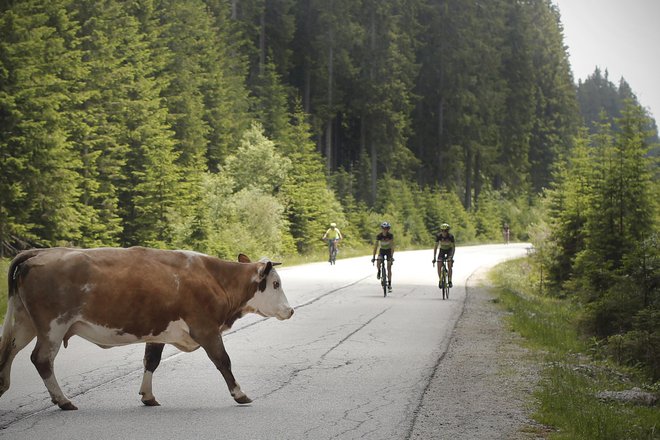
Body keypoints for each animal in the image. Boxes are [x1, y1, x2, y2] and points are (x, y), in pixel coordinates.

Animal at [0, 248, 294, 410]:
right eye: (276, 284)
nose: (290, 311)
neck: (215, 279)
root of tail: (40, 252)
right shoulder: (206, 329)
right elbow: (223, 361)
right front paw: (240, 394)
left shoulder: (161, 331)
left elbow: (151, 361)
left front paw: (148, 396)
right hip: (53, 326)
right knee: (41, 359)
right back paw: (63, 400)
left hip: (24, 323)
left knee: (9, 354)